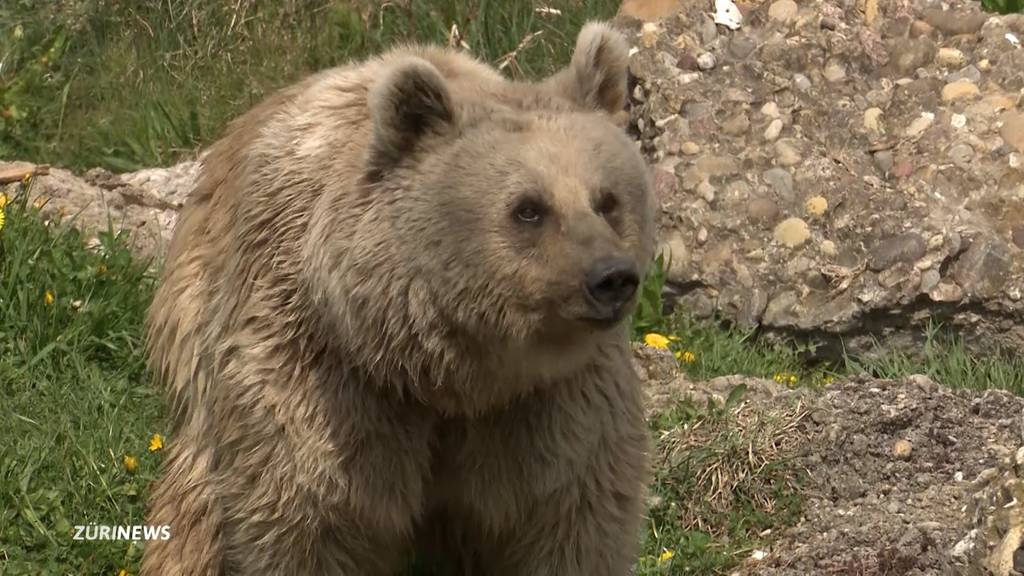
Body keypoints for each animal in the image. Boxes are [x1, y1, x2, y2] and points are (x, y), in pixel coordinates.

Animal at [142, 20, 655, 569]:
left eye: (607, 200)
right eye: (529, 208)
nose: (611, 277)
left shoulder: (550, 408)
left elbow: (573, 519)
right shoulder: (329, 381)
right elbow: (305, 517)